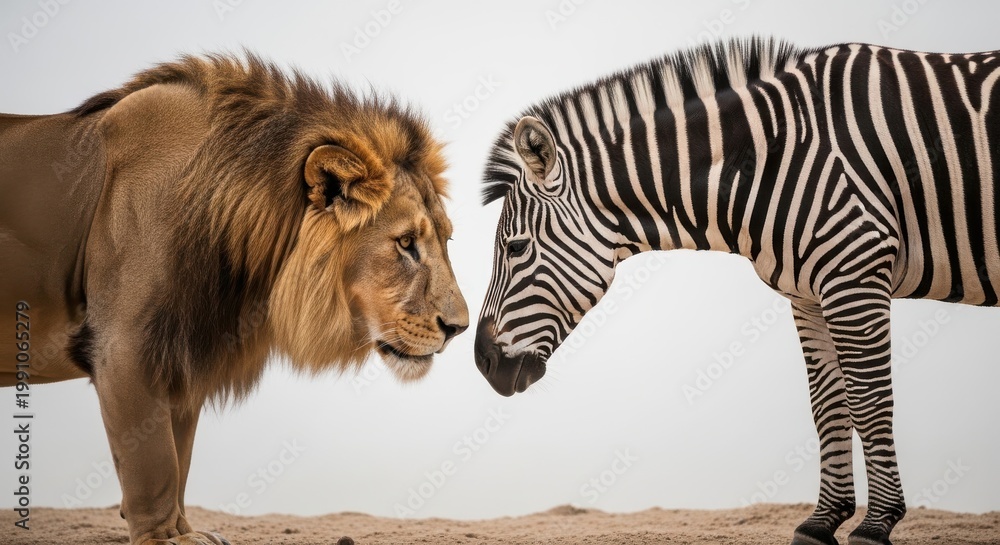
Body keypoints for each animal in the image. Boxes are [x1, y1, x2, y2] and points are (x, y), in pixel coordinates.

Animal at [0, 54, 468, 544]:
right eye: (406, 243)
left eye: (446, 239)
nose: (459, 328)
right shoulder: (124, 346)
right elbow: (154, 464)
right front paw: (166, 539)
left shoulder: (181, 352)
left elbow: (178, 454)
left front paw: (183, 530)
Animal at [474, 37, 1000, 545]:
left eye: (516, 247)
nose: (482, 362)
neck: (773, 159)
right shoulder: (809, 295)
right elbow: (828, 405)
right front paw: (822, 521)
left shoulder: (856, 273)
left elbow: (869, 401)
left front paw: (876, 525)